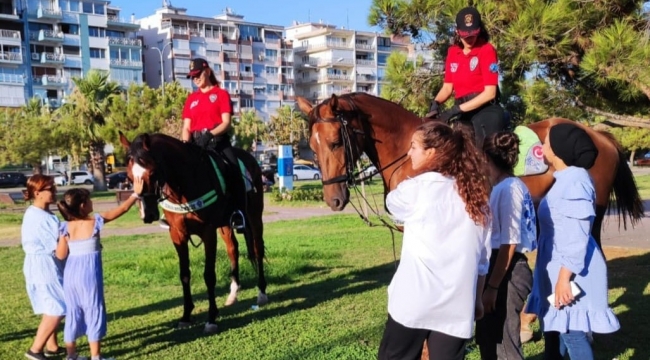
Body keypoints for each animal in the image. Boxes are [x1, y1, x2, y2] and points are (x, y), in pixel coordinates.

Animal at [118, 133, 266, 334]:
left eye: (153, 172)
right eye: (128, 176)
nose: (147, 214)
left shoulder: (208, 232)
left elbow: (209, 275)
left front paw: (211, 318)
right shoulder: (177, 234)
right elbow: (184, 274)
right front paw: (186, 315)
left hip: (254, 216)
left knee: (258, 249)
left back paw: (262, 292)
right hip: (225, 225)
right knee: (232, 249)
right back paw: (233, 293)